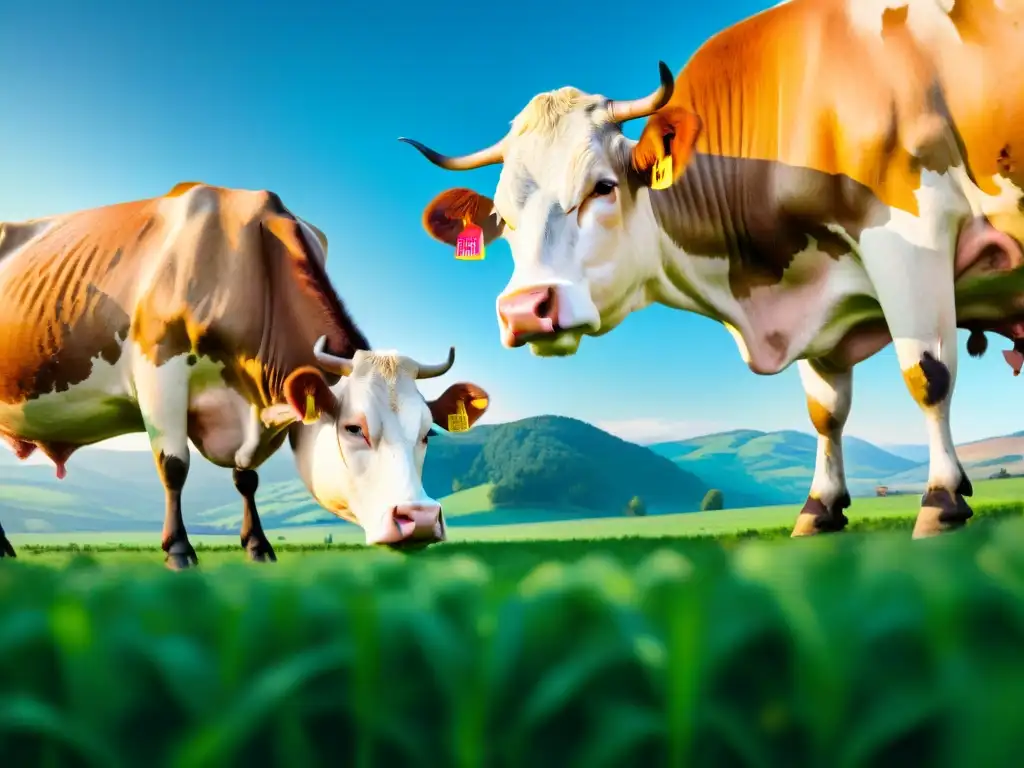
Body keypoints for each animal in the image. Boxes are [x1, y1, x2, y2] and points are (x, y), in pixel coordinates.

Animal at [0, 180, 491, 565]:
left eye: (428, 434)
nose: (421, 518)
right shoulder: (160, 371)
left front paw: (258, 545)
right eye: (354, 428)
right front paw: (179, 549)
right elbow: (174, 465)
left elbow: (246, 476)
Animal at [405, 0, 1024, 544]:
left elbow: (927, 374)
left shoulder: (914, 230)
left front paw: (942, 499)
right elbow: (825, 412)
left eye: (603, 186)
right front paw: (819, 509)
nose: (523, 311)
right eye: (502, 219)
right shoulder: (819, 294)